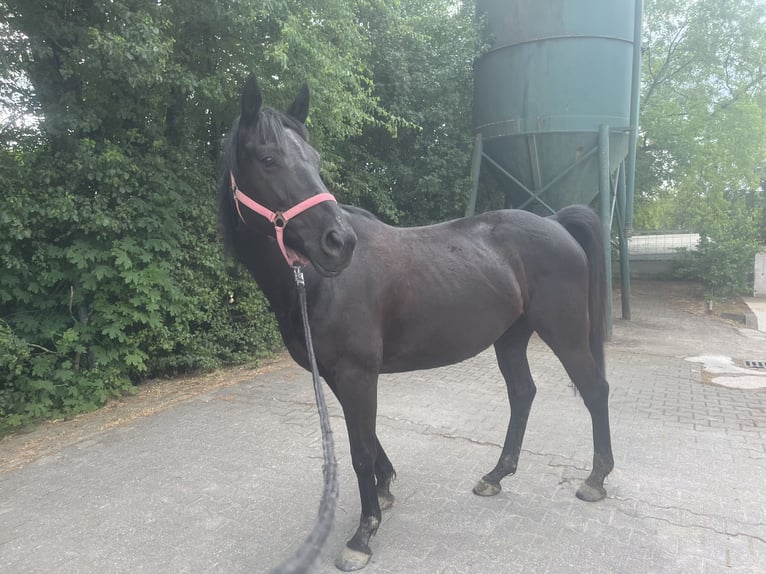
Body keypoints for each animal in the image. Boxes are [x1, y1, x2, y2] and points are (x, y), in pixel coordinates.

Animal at [218, 75, 614, 571]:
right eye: (269, 159)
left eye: (316, 160)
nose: (339, 242)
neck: (317, 284)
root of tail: (556, 221)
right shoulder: (335, 375)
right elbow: (367, 437)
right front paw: (385, 490)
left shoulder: (357, 374)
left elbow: (360, 449)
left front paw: (362, 534)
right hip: (510, 338)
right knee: (523, 394)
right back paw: (496, 475)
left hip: (565, 333)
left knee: (595, 390)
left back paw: (596, 479)